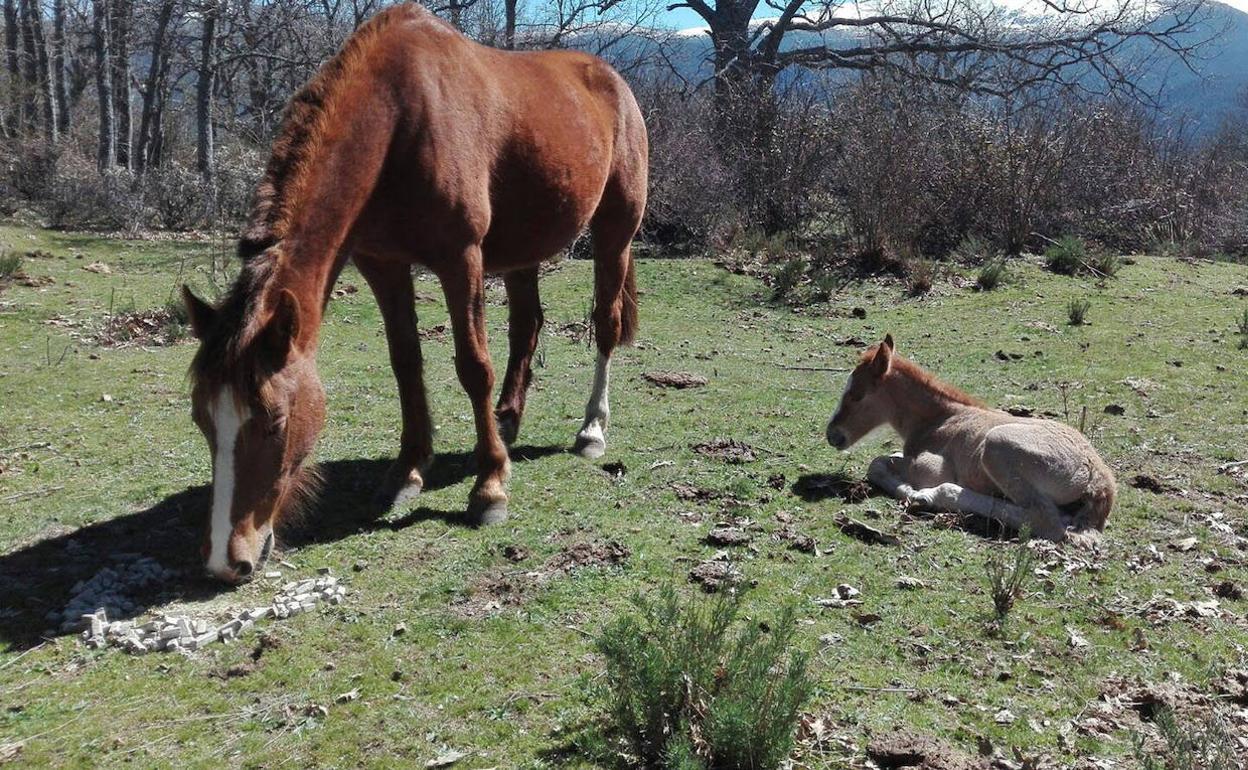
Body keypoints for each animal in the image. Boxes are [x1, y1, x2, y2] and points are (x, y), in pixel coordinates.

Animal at [181, 4, 647, 583]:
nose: (226, 560)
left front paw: (489, 488)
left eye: (274, 422)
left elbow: (473, 366)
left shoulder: (460, 259)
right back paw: (507, 419)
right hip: (522, 250)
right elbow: (405, 363)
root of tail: (613, 81)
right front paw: (408, 471)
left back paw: (590, 430)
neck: (398, 119)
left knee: (604, 325)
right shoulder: (382, 264)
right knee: (528, 325)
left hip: (615, 234)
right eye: (202, 418)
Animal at [825, 335, 1116, 542]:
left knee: (1044, 520)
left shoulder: (931, 469)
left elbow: (877, 464)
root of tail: (1101, 481)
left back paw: (929, 497)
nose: (832, 434)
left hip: (997, 445)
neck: (939, 418)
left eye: (857, 395)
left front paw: (911, 491)